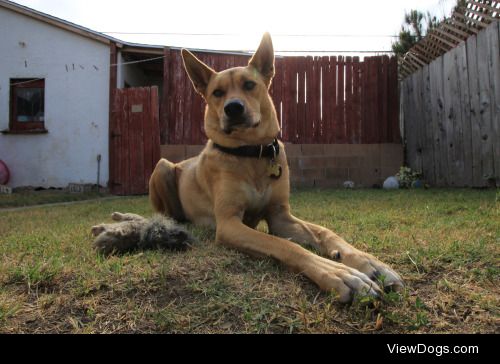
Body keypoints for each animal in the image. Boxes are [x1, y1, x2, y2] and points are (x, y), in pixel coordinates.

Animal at [148, 33, 402, 302]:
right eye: (217, 92)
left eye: (249, 85)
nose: (233, 108)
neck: (251, 154)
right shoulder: (229, 224)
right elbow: (285, 245)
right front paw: (339, 274)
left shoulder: (281, 217)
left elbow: (326, 232)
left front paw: (369, 263)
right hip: (162, 166)